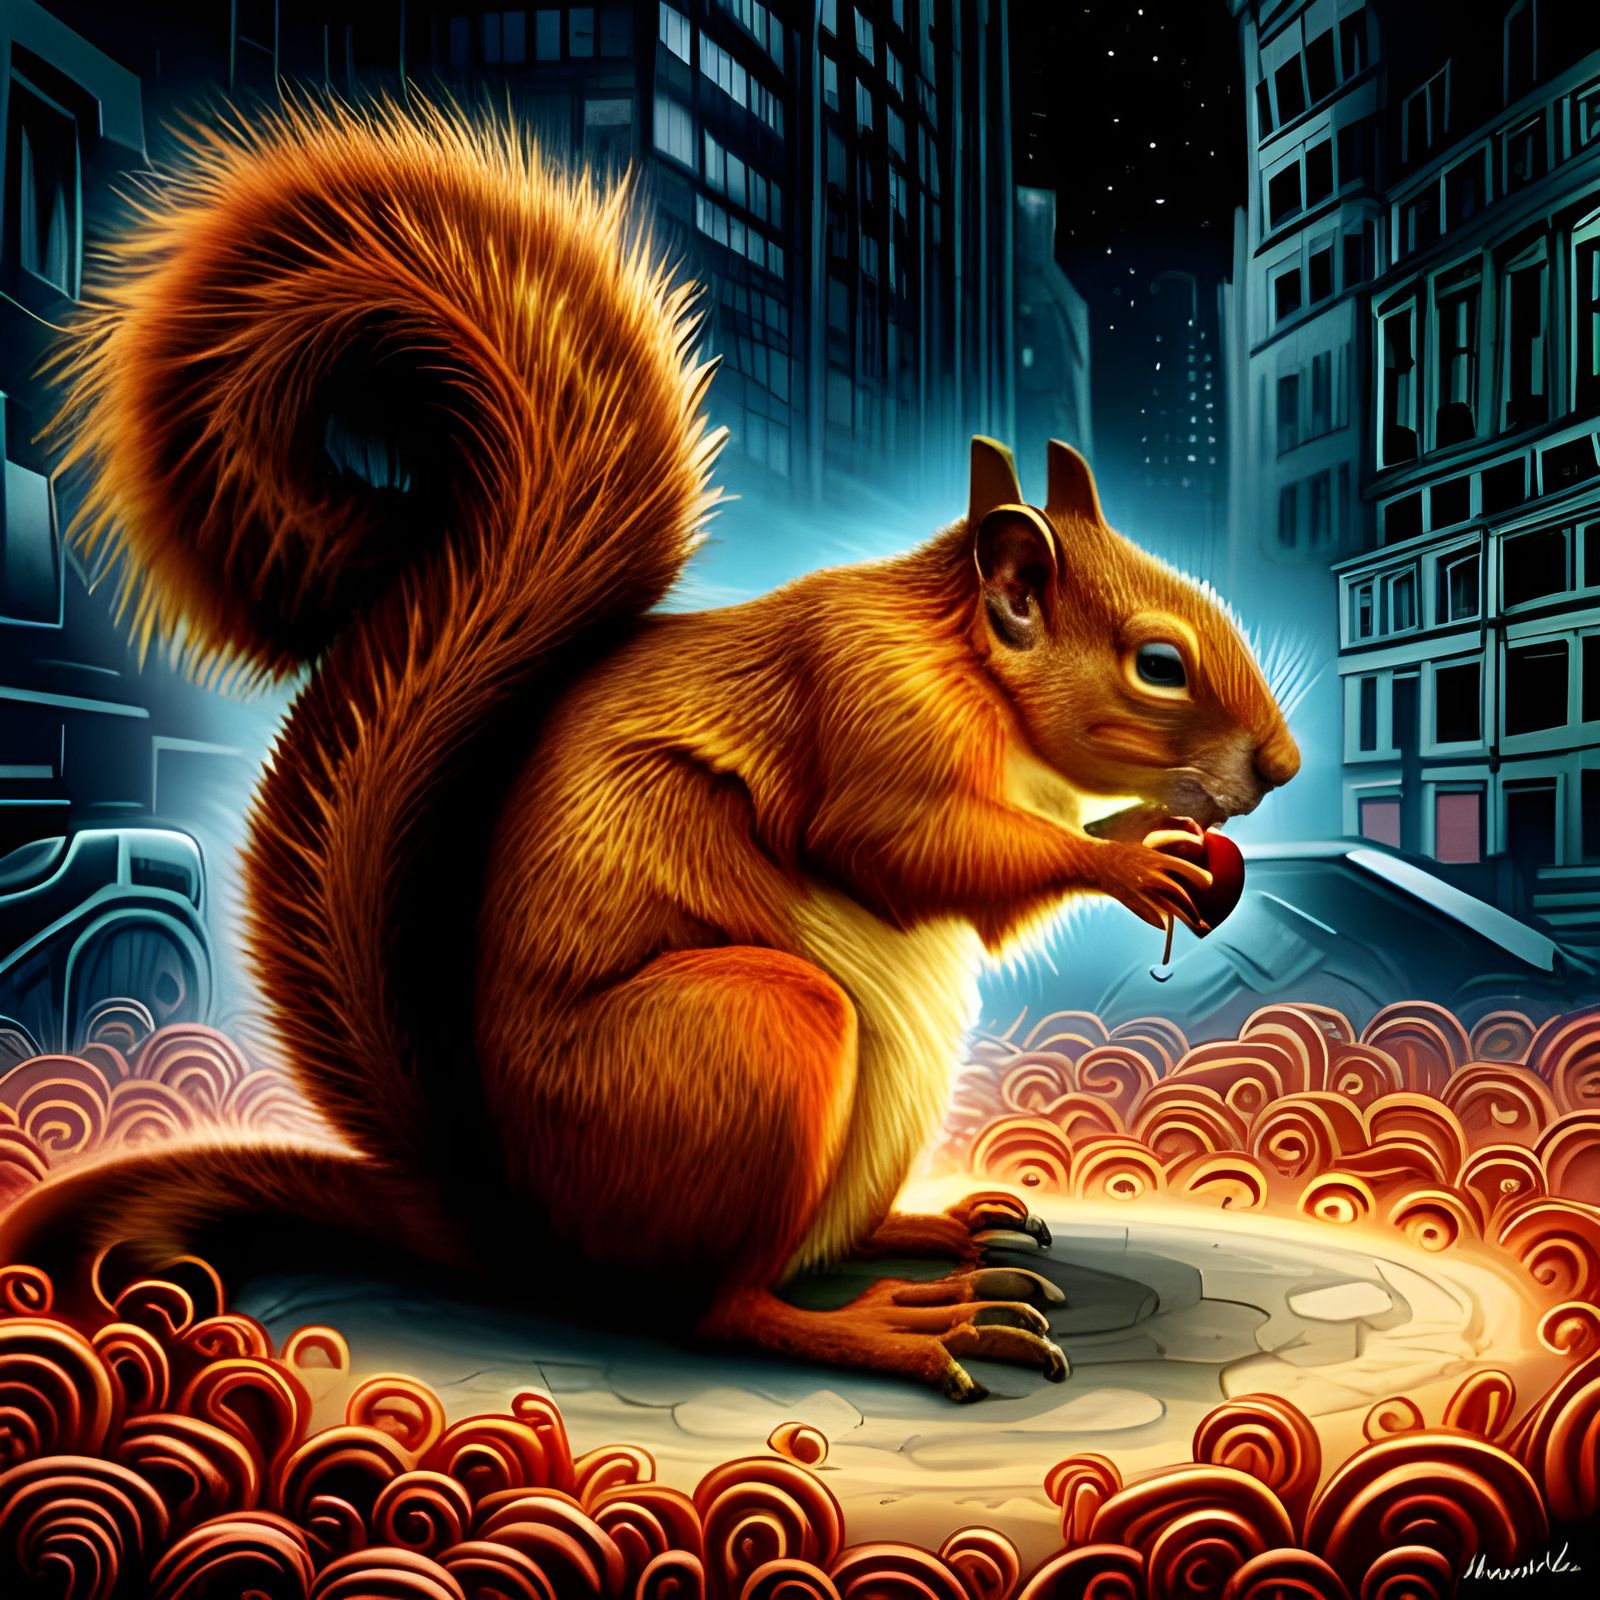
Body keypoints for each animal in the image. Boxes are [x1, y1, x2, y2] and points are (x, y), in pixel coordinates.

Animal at [0, 100, 1299, 1401]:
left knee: (806, 1246)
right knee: (717, 1307)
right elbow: (909, 849)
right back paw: (897, 1323)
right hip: (756, 1035)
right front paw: (1131, 863)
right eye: (1158, 660)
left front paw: (1145, 830)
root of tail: (527, 1230)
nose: (1281, 768)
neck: (971, 668)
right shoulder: (866, 710)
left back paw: (935, 1226)